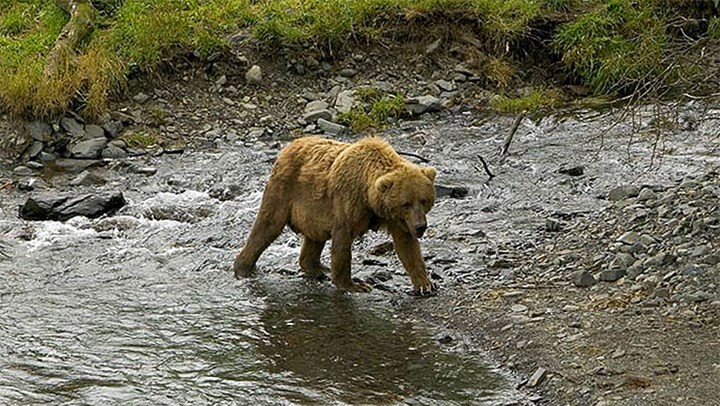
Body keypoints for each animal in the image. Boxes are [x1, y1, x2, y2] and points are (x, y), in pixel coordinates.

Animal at [235, 136, 438, 294]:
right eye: (406, 203)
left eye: (424, 200)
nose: (421, 227)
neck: (370, 198)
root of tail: (289, 146)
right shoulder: (348, 201)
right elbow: (342, 241)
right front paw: (353, 285)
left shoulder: (396, 218)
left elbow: (407, 245)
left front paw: (425, 285)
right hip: (285, 189)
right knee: (267, 226)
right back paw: (243, 268)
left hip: (312, 211)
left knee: (314, 238)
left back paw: (318, 268)